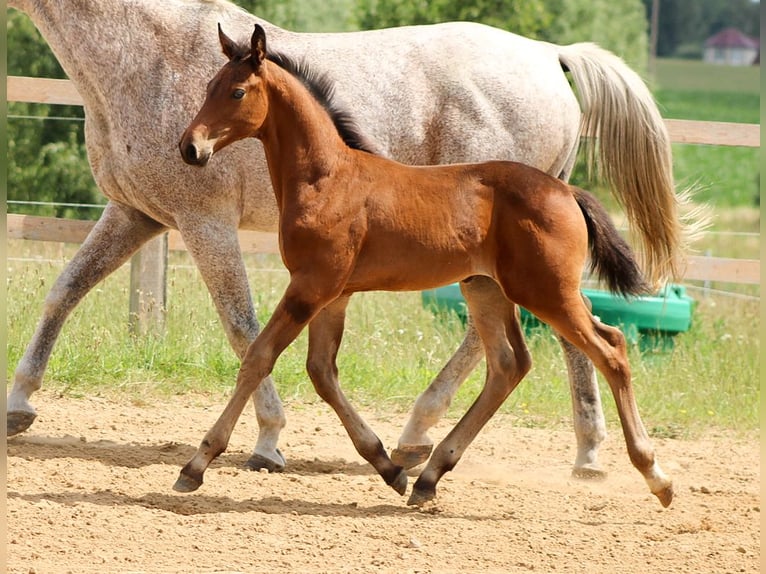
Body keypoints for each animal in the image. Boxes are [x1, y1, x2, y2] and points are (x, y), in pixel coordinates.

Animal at [177, 24, 676, 508]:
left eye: (237, 92)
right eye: (209, 86)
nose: (189, 148)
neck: (327, 178)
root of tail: (566, 191)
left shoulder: (310, 286)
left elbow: (259, 358)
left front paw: (196, 465)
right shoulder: (333, 293)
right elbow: (322, 372)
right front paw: (389, 468)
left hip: (545, 291)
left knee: (609, 348)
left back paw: (656, 475)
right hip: (487, 288)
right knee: (510, 364)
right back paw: (430, 475)